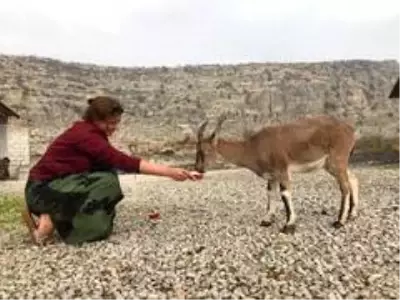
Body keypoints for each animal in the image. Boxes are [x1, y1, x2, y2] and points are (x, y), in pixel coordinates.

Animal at [194, 113, 360, 233]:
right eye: (196, 150)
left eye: (206, 150)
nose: (198, 169)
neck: (254, 146)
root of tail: (350, 130)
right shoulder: (272, 176)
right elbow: (270, 193)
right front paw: (267, 220)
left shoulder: (282, 170)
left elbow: (285, 193)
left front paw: (289, 225)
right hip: (333, 164)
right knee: (353, 179)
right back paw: (352, 215)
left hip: (337, 161)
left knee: (344, 186)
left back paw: (339, 221)